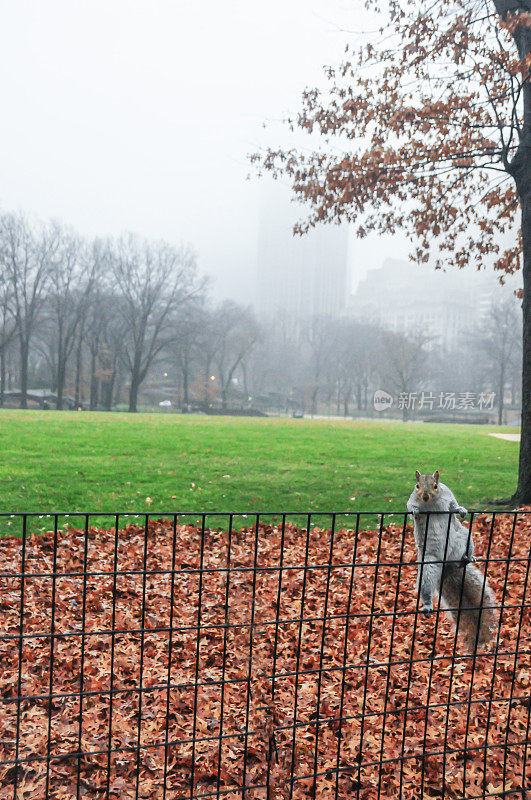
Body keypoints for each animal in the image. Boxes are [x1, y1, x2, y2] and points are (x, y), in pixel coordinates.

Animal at [408, 468, 498, 648]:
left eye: (436, 486)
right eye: (417, 486)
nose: (425, 496)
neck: (431, 503)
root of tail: (448, 563)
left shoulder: (448, 496)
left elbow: (453, 505)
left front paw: (461, 509)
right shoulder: (412, 499)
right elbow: (410, 506)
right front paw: (415, 512)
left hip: (463, 536)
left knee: (465, 548)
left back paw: (468, 556)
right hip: (429, 563)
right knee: (426, 585)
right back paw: (427, 605)